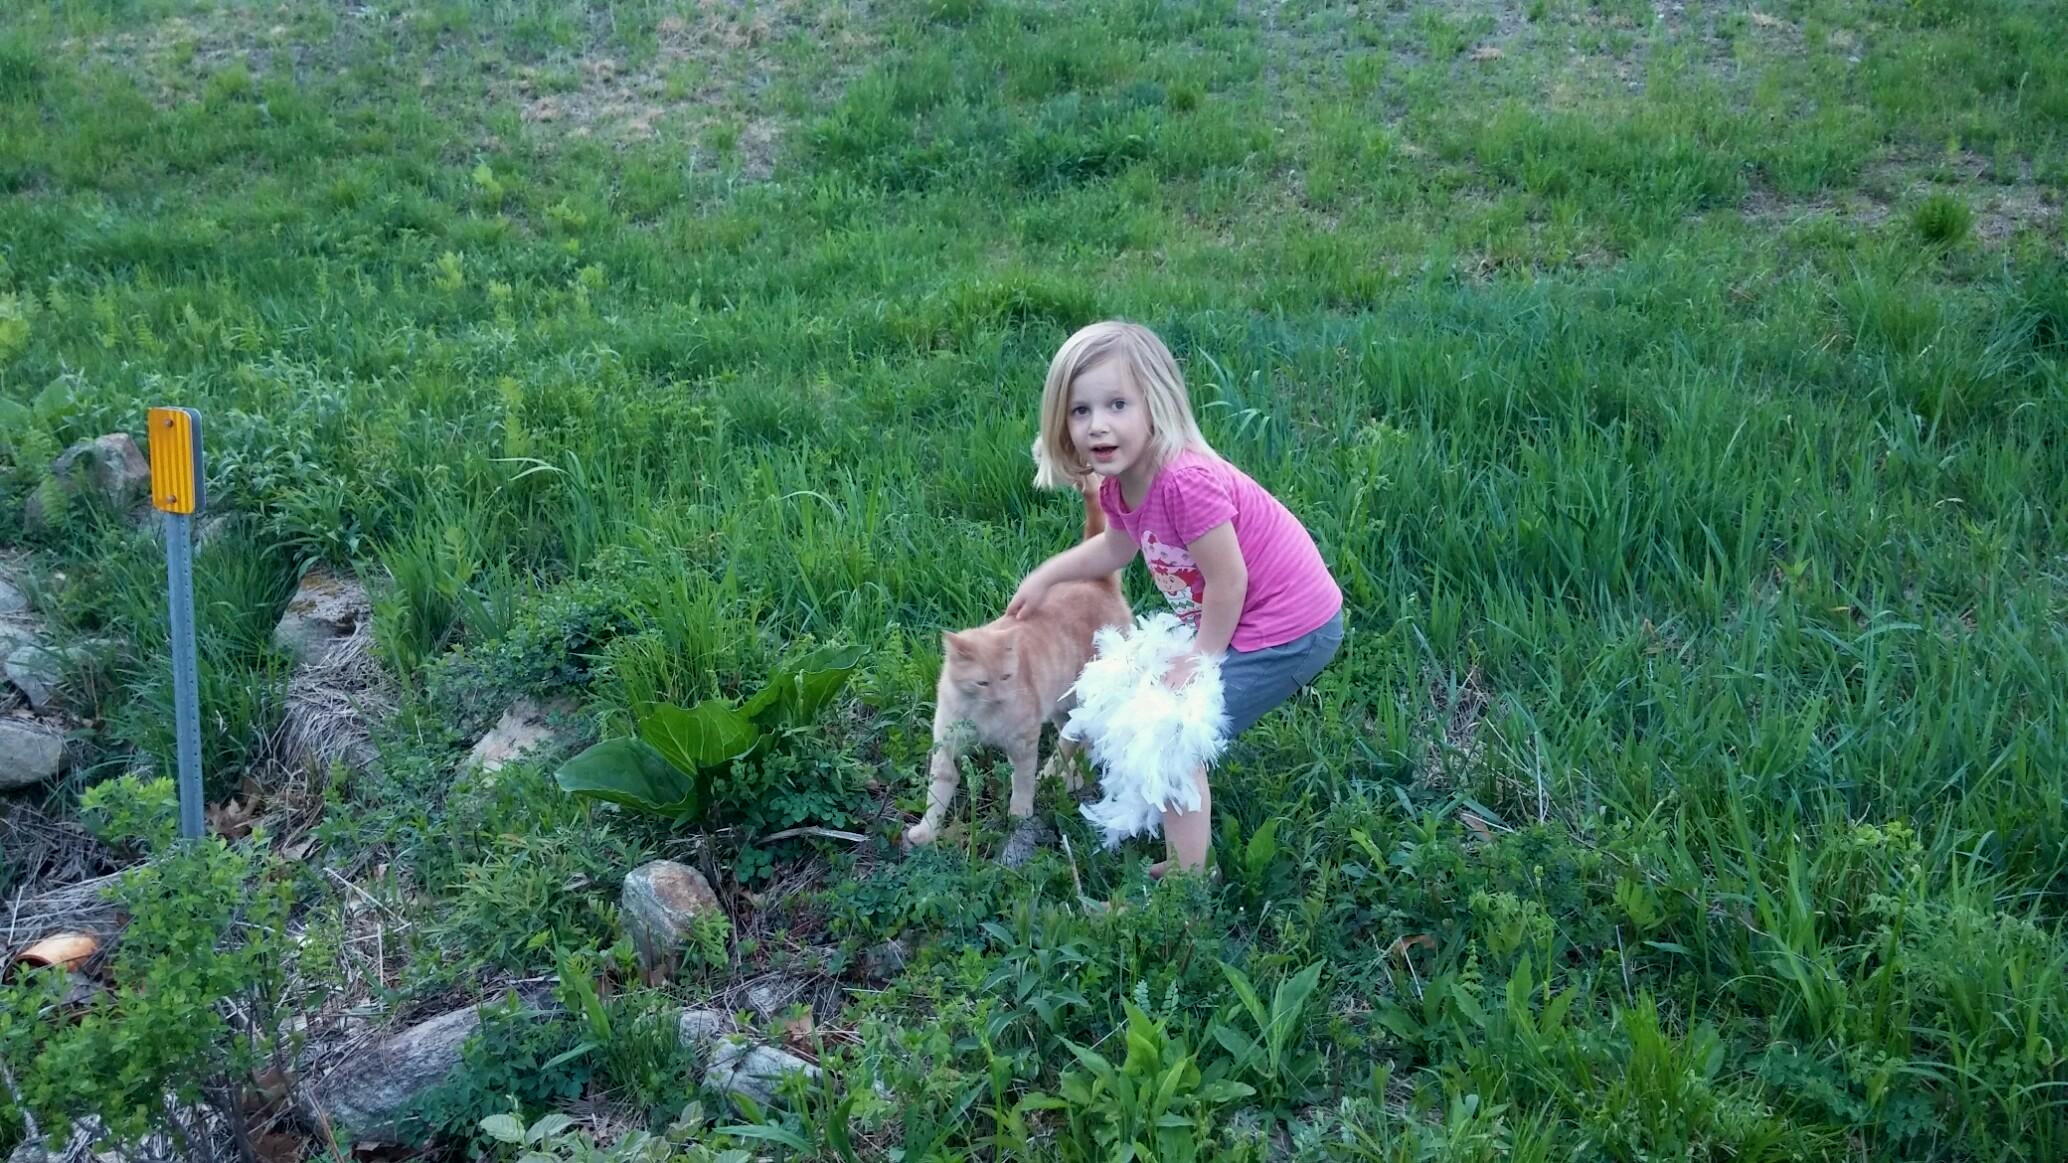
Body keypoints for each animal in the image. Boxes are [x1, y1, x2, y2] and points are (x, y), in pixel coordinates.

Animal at [904, 483, 1131, 853]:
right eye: (982, 683)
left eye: (1007, 677)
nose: (1000, 697)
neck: (979, 714)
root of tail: (1096, 582)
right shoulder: (946, 745)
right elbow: (937, 793)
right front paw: (926, 831)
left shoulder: (1023, 740)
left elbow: (1021, 780)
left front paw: (1020, 813)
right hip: (1062, 706)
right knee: (1075, 740)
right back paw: (1070, 776)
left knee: (1073, 740)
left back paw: (1053, 774)